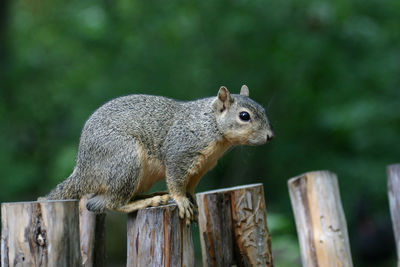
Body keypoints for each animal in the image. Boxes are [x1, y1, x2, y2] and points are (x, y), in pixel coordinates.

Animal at [44, 85, 276, 224]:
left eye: (264, 111)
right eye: (244, 116)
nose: (270, 136)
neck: (210, 125)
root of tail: (83, 168)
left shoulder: (201, 167)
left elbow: (190, 186)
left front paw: (191, 200)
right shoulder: (179, 153)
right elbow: (175, 181)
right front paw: (181, 201)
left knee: (96, 203)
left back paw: (152, 196)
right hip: (125, 160)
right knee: (113, 203)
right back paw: (146, 202)